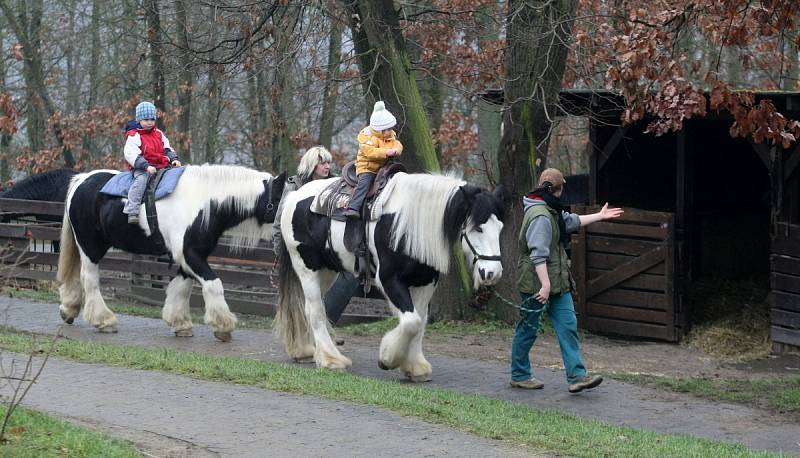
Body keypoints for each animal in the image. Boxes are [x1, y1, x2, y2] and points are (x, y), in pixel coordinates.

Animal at [54, 165, 284, 340]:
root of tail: (82, 179)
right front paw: (222, 325)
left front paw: (180, 323)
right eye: (280, 200)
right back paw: (103, 320)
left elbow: (181, 288)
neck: (203, 203)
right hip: (90, 246)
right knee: (89, 279)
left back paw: (69, 309)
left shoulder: (190, 257)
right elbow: (214, 284)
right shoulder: (190, 255)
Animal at [274, 174, 500, 382]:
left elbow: (420, 321)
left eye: (500, 228)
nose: (492, 273)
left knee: (309, 308)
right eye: (478, 228)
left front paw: (415, 366)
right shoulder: (390, 280)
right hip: (307, 268)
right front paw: (388, 358)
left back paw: (309, 351)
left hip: (327, 271)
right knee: (315, 311)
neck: (409, 221)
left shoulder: (425, 283)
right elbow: (411, 322)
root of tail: (294, 197)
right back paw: (332, 360)